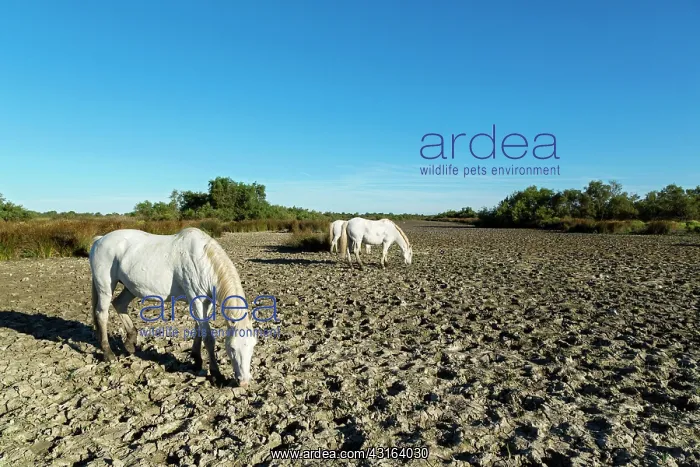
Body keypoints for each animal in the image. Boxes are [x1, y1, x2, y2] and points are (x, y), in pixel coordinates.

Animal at [88, 227, 256, 388]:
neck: (202, 260)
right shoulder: (195, 298)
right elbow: (208, 338)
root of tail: (99, 240)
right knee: (102, 314)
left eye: (253, 345)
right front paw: (216, 374)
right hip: (105, 286)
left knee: (119, 304)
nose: (244, 382)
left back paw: (130, 343)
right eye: (232, 348)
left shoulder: (206, 301)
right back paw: (108, 353)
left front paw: (196, 358)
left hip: (130, 288)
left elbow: (199, 329)